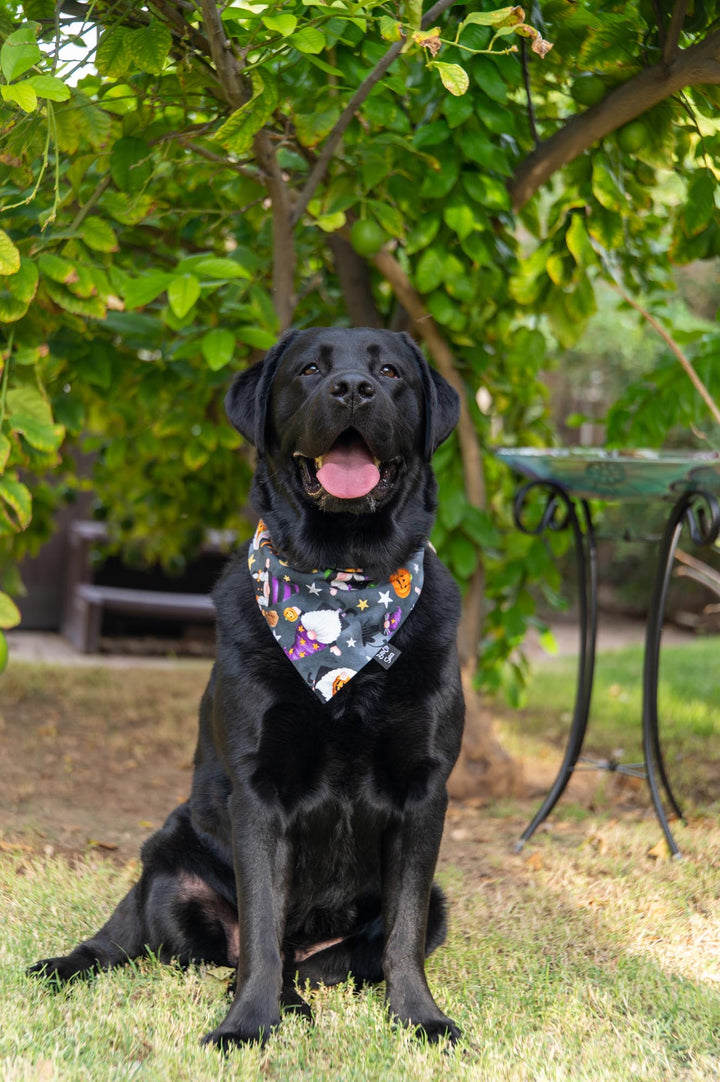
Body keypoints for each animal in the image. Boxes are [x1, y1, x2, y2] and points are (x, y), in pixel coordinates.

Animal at [29, 322, 465, 1047]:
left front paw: (420, 1017)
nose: (352, 388)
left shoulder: (423, 792)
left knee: (320, 956)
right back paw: (67, 965)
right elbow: (262, 924)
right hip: (168, 856)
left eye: (391, 373)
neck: (342, 581)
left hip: (434, 904)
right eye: (311, 369)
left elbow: (401, 932)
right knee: (132, 935)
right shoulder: (258, 790)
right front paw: (247, 1026)